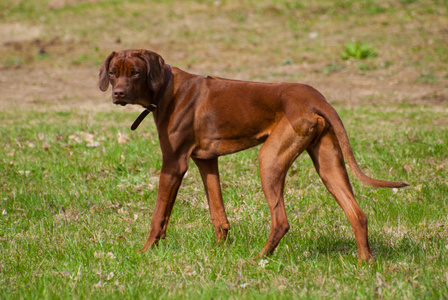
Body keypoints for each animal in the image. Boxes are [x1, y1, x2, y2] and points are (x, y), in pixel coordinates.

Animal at [100, 49, 408, 262]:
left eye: (135, 72)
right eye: (114, 72)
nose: (118, 93)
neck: (167, 89)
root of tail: (316, 98)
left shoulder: (174, 164)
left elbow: (158, 216)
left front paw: (144, 251)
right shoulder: (206, 161)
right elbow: (218, 213)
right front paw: (220, 250)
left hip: (269, 159)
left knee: (281, 221)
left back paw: (259, 258)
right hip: (329, 165)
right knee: (357, 214)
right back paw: (365, 262)